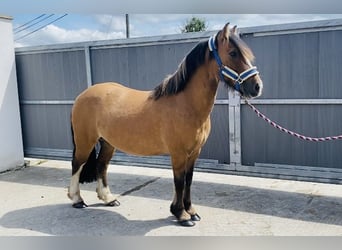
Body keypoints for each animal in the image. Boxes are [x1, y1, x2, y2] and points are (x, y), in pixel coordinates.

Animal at [68, 23, 264, 227]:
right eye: (233, 53)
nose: (257, 87)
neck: (185, 104)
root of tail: (82, 96)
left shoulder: (195, 152)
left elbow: (188, 180)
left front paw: (190, 211)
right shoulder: (178, 153)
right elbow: (179, 181)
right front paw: (181, 215)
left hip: (107, 143)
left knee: (101, 166)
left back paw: (108, 199)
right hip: (85, 141)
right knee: (77, 164)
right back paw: (77, 200)